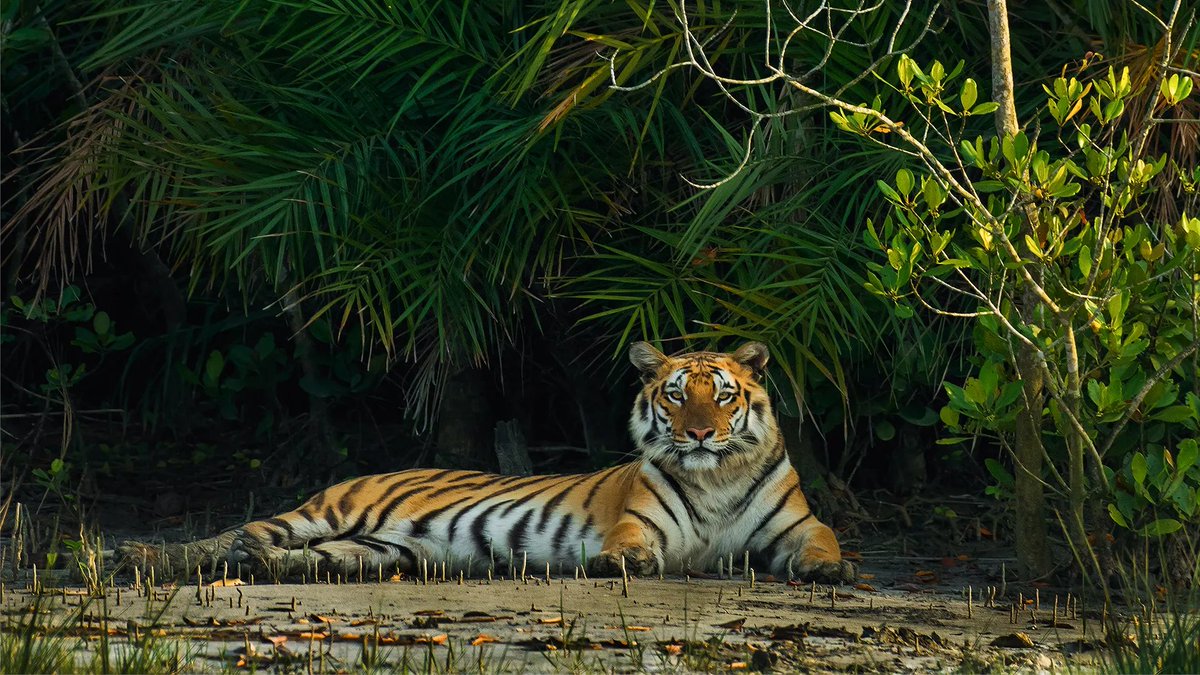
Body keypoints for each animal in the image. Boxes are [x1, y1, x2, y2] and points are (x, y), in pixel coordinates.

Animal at [118, 341, 855, 583]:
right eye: (676, 394)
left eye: (722, 394)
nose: (699, 433)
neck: (716, 475)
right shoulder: (641, 519)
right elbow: (628, 542)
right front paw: (623, 563)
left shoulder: (794, 525)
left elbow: (825, 539)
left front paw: (833, 570)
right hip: (327, 511)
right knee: (232, 534)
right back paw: (140, 555)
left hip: (382, 549)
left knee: (293, 556)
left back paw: (270, 568)